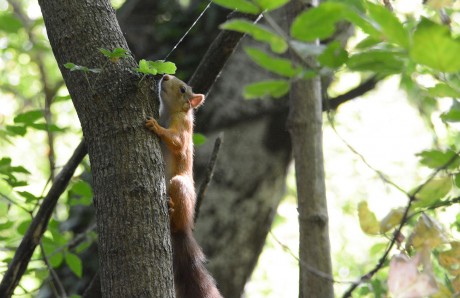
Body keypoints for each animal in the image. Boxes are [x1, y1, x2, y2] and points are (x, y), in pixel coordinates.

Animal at [145, 74, 222, 298]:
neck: (170, 112)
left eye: (182, 89)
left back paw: (171, 209)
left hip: (179, 185)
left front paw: (156, 127)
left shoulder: (183, 128)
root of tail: (186, 228)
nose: (164, 76)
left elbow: (177, 141)